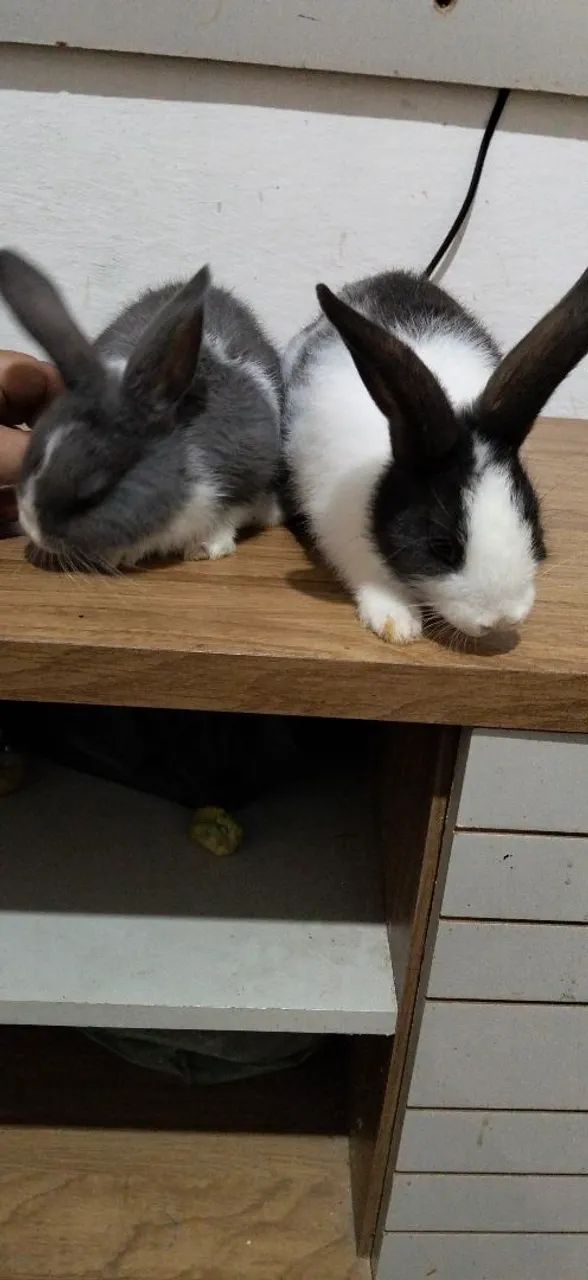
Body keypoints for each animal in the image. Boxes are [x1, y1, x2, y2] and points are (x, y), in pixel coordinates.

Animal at [0, 250, 283, 569]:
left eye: (95, 492)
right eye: (30, 458)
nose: (34, 532)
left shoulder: (247, 472)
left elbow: (226, 517)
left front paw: (205, 549)